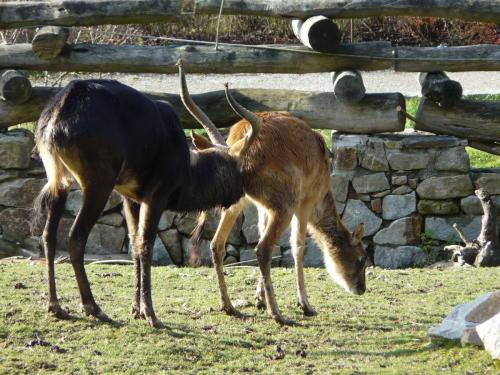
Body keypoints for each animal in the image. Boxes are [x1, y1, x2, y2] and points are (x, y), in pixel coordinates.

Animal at [179, 70, 368, 326]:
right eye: (361, 258)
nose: (361, 288)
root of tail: (240, 147)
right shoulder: (304, 203)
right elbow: (298, 247)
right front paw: (305, 305)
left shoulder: (262, 207)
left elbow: (259, 231)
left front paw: (258, 299)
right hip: (284, 205)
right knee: (263, 248)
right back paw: (277, 313)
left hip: (236, 203)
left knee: (217, 244)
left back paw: (229, 306)